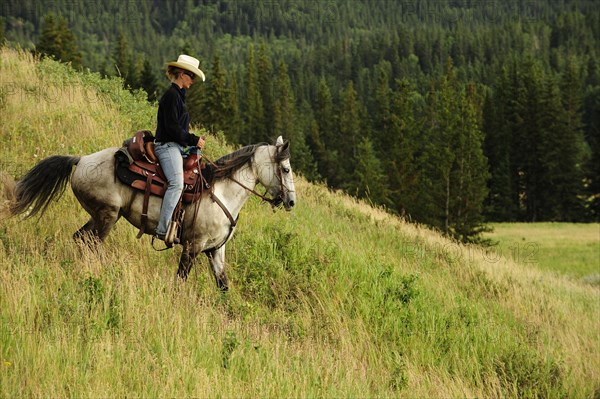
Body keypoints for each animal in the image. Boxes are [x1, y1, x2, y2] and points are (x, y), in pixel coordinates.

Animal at [4, 138, 296, 290]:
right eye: (286, 169)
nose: (291, 202)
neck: (222, 193)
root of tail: (81, 160)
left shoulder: (215, 250)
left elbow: (223, 285)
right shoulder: (192, 246)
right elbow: (180, 280)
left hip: (99, 215)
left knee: (80, 239)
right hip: (107, 216)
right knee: (93, 243)